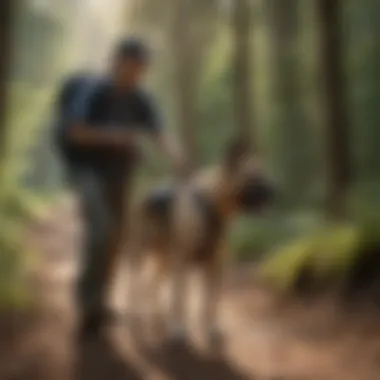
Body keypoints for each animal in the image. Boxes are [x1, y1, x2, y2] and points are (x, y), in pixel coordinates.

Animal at [126, 139, 274, 348]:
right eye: (253, 177)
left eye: (263, 173)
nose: (277, 191)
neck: (212, 206)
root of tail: (147, 190)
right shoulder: (182, 266)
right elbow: (180, 301)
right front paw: (178, 330)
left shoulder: (215, 268)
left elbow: (210, 304)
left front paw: (211, 329)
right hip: (140, 256)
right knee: (136, 286)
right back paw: (137, 317)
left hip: (165, 261)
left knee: (152, 284)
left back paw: (158, 315)